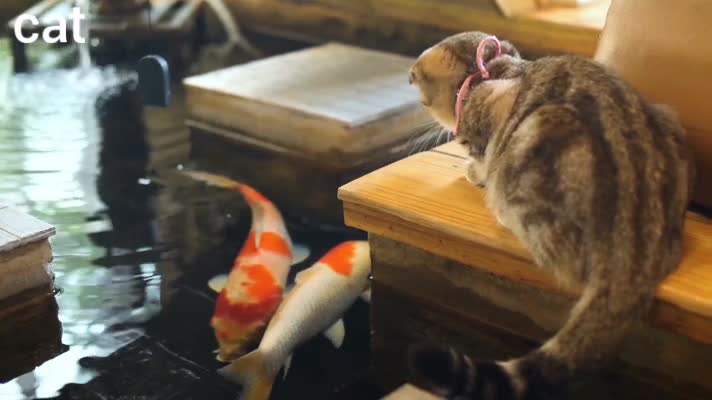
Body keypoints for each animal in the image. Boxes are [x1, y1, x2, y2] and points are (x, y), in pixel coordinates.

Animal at [406, 32, 696, 400]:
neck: (492, 72)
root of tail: (637, 256)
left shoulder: (493, 104)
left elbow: (483, 154)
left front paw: (475, 169)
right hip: (667, 120)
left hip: (538, 143)